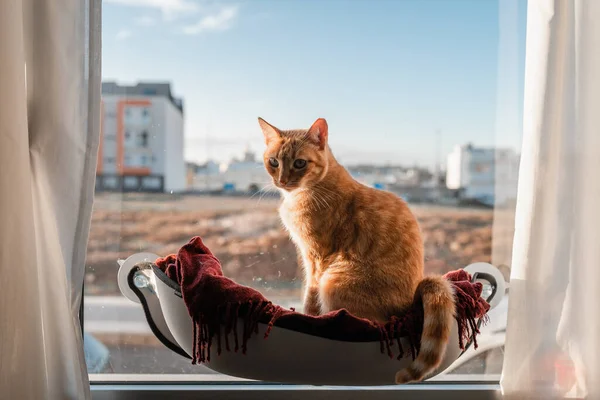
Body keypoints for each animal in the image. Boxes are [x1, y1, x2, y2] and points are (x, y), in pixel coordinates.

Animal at [256, 116, 454, 384]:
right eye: (274, 162)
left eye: (299, 163)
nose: (283, 181)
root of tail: (410, 303)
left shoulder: (316, 258)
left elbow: (310, 296)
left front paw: (309, 318)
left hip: (334, 280)